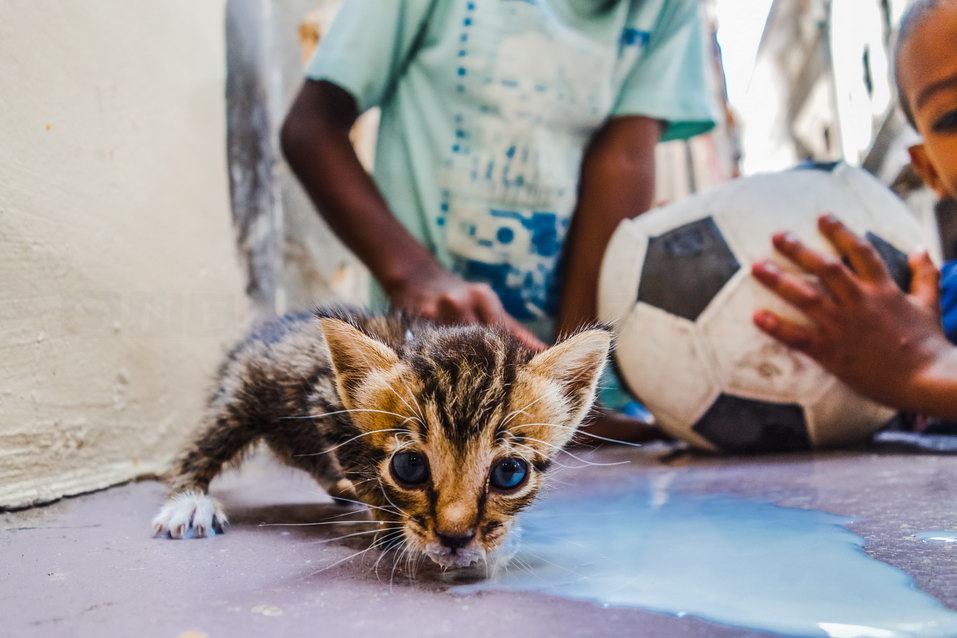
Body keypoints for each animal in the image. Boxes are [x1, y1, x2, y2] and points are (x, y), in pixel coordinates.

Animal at [153, 308, 608, 568]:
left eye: (509, 473)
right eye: (410, 466)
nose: (455, 538)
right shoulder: (326, 400)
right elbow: (367, 475)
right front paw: (394, 531)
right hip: (244, 393)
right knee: (203, 445)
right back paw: (187, 502)